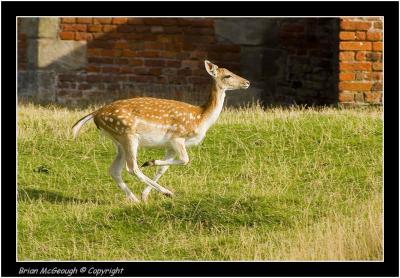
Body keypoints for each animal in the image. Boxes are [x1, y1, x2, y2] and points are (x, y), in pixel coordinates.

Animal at [70, 60, 248, 202]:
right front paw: (149, 163)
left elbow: (164, 168)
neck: (200, 117)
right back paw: (166, 192)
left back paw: (135, 199)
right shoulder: (177, 137)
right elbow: (185, 160)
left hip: (118, 141)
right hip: (128, 135)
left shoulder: (170, 145)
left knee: (114, 170)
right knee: (132, 167)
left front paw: (145, 194)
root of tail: (96, 114)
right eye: (227, 76)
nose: (247, 82)